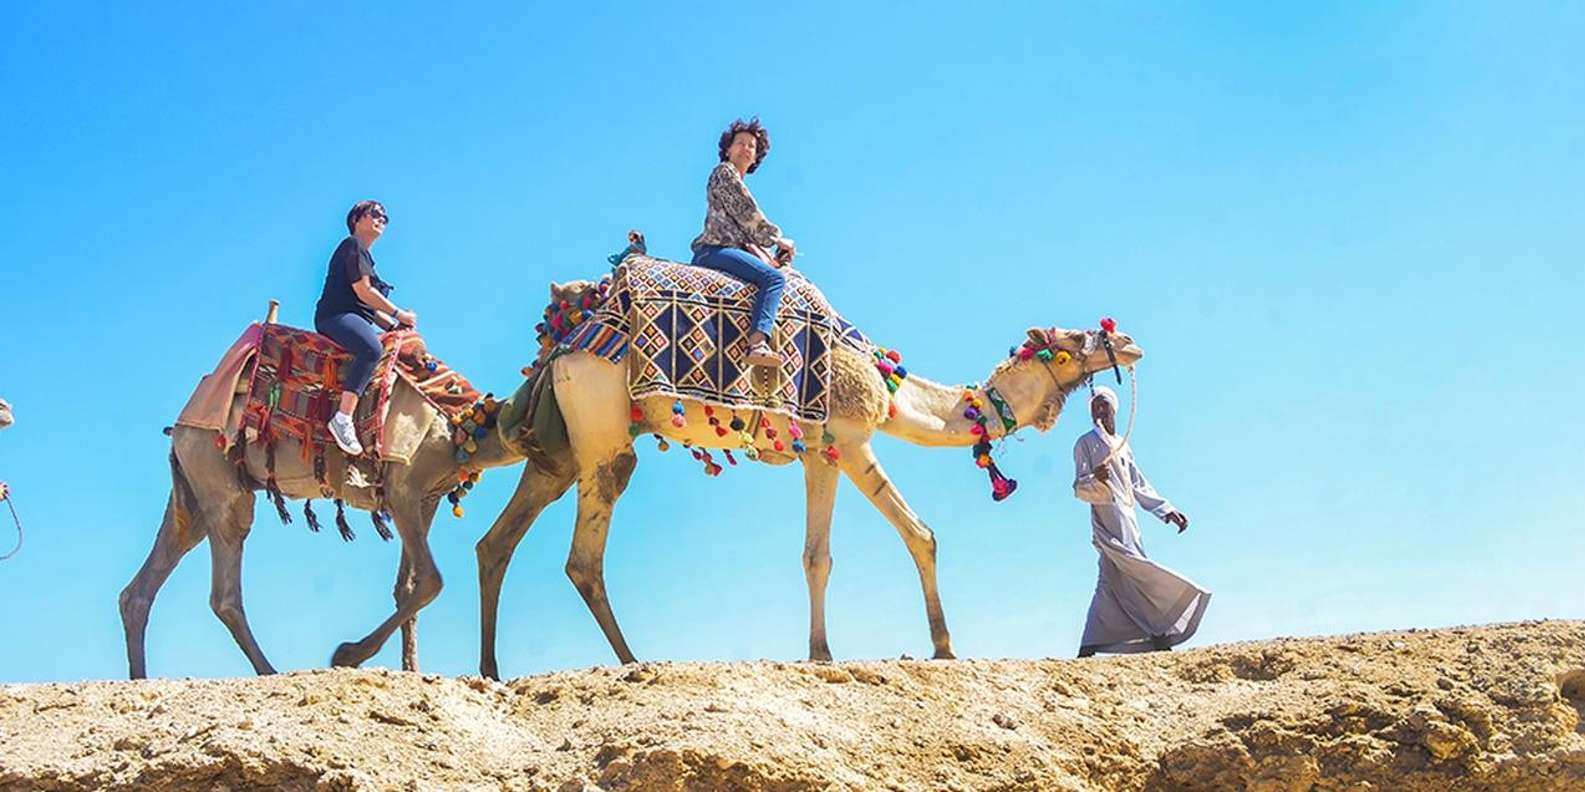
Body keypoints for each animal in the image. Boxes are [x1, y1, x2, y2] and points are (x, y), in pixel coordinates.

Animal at [120, 324, 526, 677]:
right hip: (218, 478)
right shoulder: (403, 489)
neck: (459, 425)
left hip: (195, 486)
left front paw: (412, 670)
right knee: (224, 589)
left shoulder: (428, 498)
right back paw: (270, 671)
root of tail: (182, 423)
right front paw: (347, 654)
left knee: (146, 582)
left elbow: (407, 588)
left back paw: (141, 677)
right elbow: (430, 580)